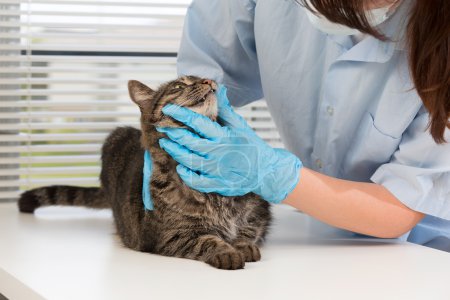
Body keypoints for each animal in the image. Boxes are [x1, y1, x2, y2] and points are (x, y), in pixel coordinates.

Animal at [18, 76, 270, 270]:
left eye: (202, 78)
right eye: (179, 86)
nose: (209, 81)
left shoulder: (259, 209)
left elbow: (248, 229)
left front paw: (242, 245)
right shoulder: (169, 235)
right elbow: (206, 240)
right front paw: (225, 251)